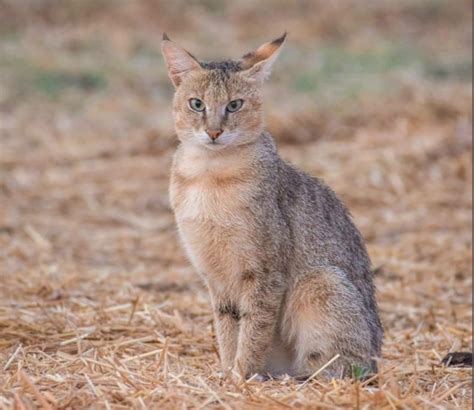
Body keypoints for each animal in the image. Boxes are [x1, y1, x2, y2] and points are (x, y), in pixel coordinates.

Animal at [161, 32, 384, 382]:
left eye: (234, 105)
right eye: (197, 104)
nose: (213, 132)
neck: (209, 176)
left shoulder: (264, 271)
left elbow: (254, 327)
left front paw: (241, 375)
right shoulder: (215, 275)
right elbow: (228, 329)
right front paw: (228, 371)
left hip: (321, 281)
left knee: (344, 367)